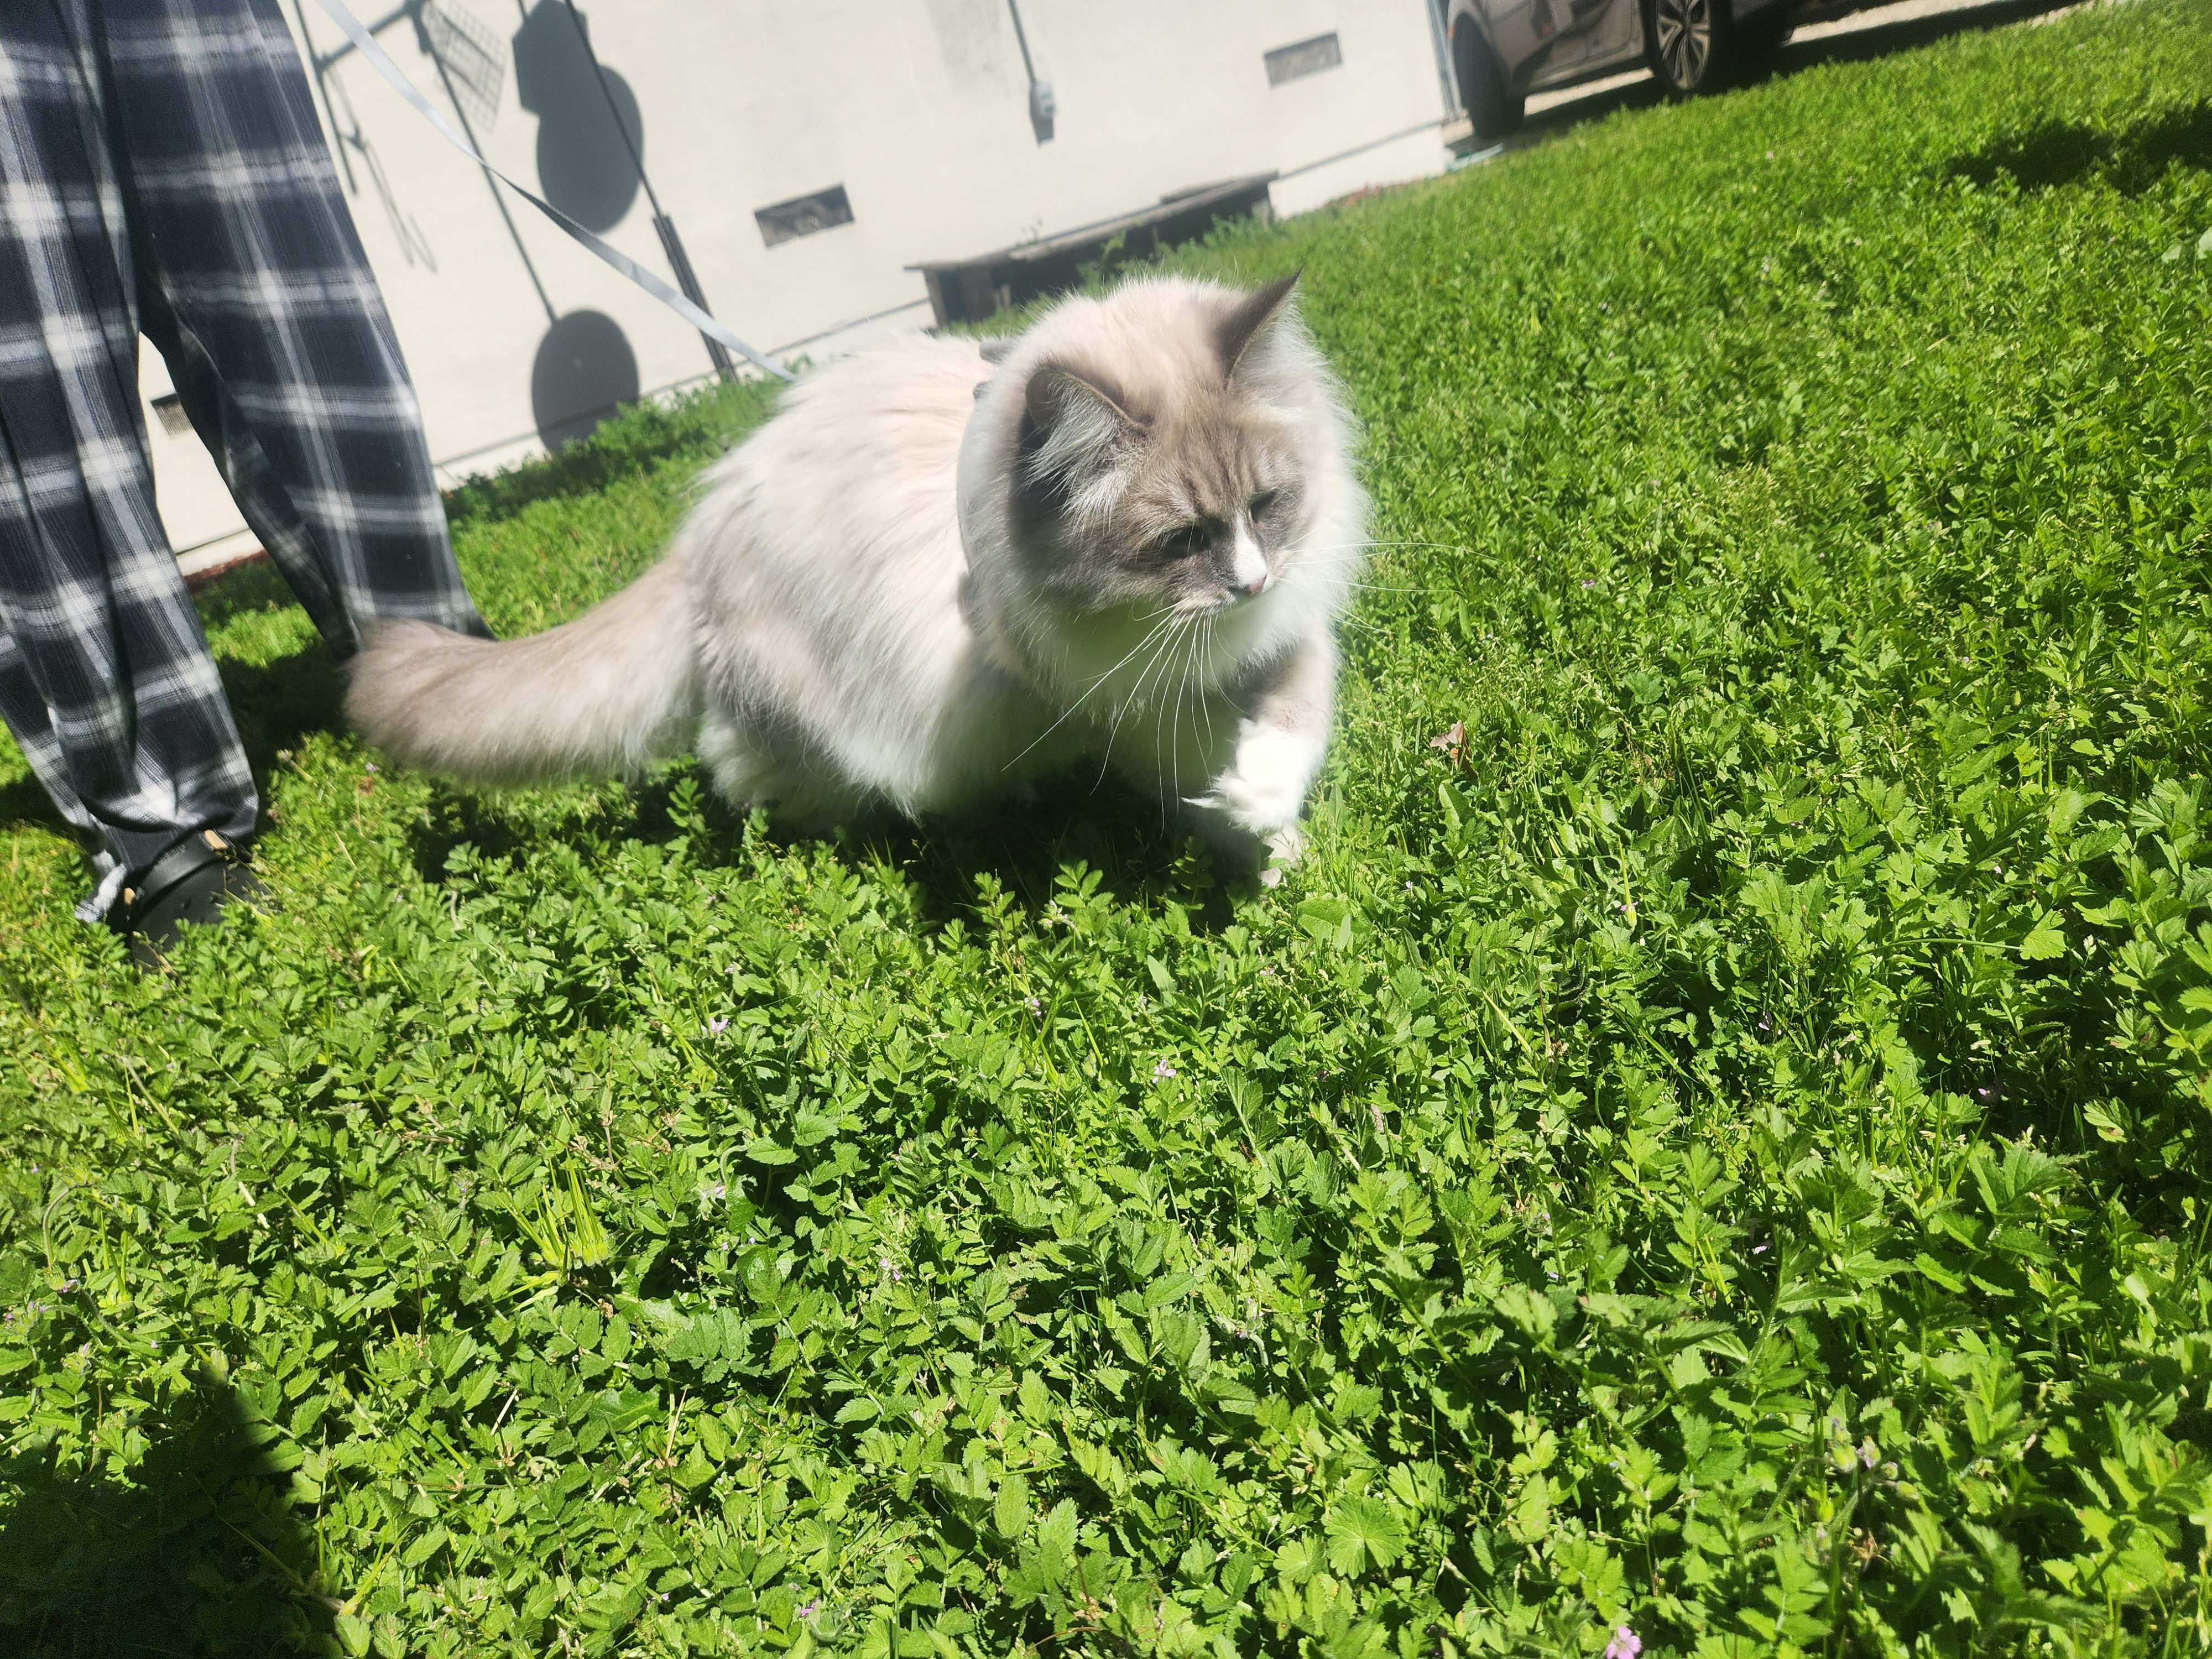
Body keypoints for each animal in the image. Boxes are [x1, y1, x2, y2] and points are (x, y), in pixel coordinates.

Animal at [345, 273, 1363, 872]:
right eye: (1182, 542)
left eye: (1268, 506)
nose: (1248, 584)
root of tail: (699, 531)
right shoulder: (1114, 694)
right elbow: (1202, 761)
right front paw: (1266, 840)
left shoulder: (1287, 624)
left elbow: (1299, 708)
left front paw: (1268, 806)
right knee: (748, 772)